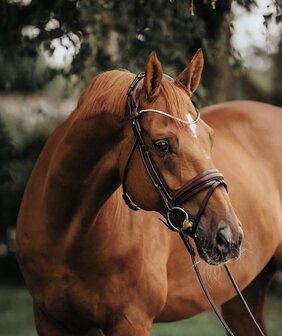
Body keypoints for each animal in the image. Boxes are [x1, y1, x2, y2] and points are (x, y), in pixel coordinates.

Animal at [16, 50, 280, 336]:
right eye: (162, 144)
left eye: (210, 138)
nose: (229, 236)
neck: (66, 235)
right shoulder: (50, 321)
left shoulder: (131, 321)